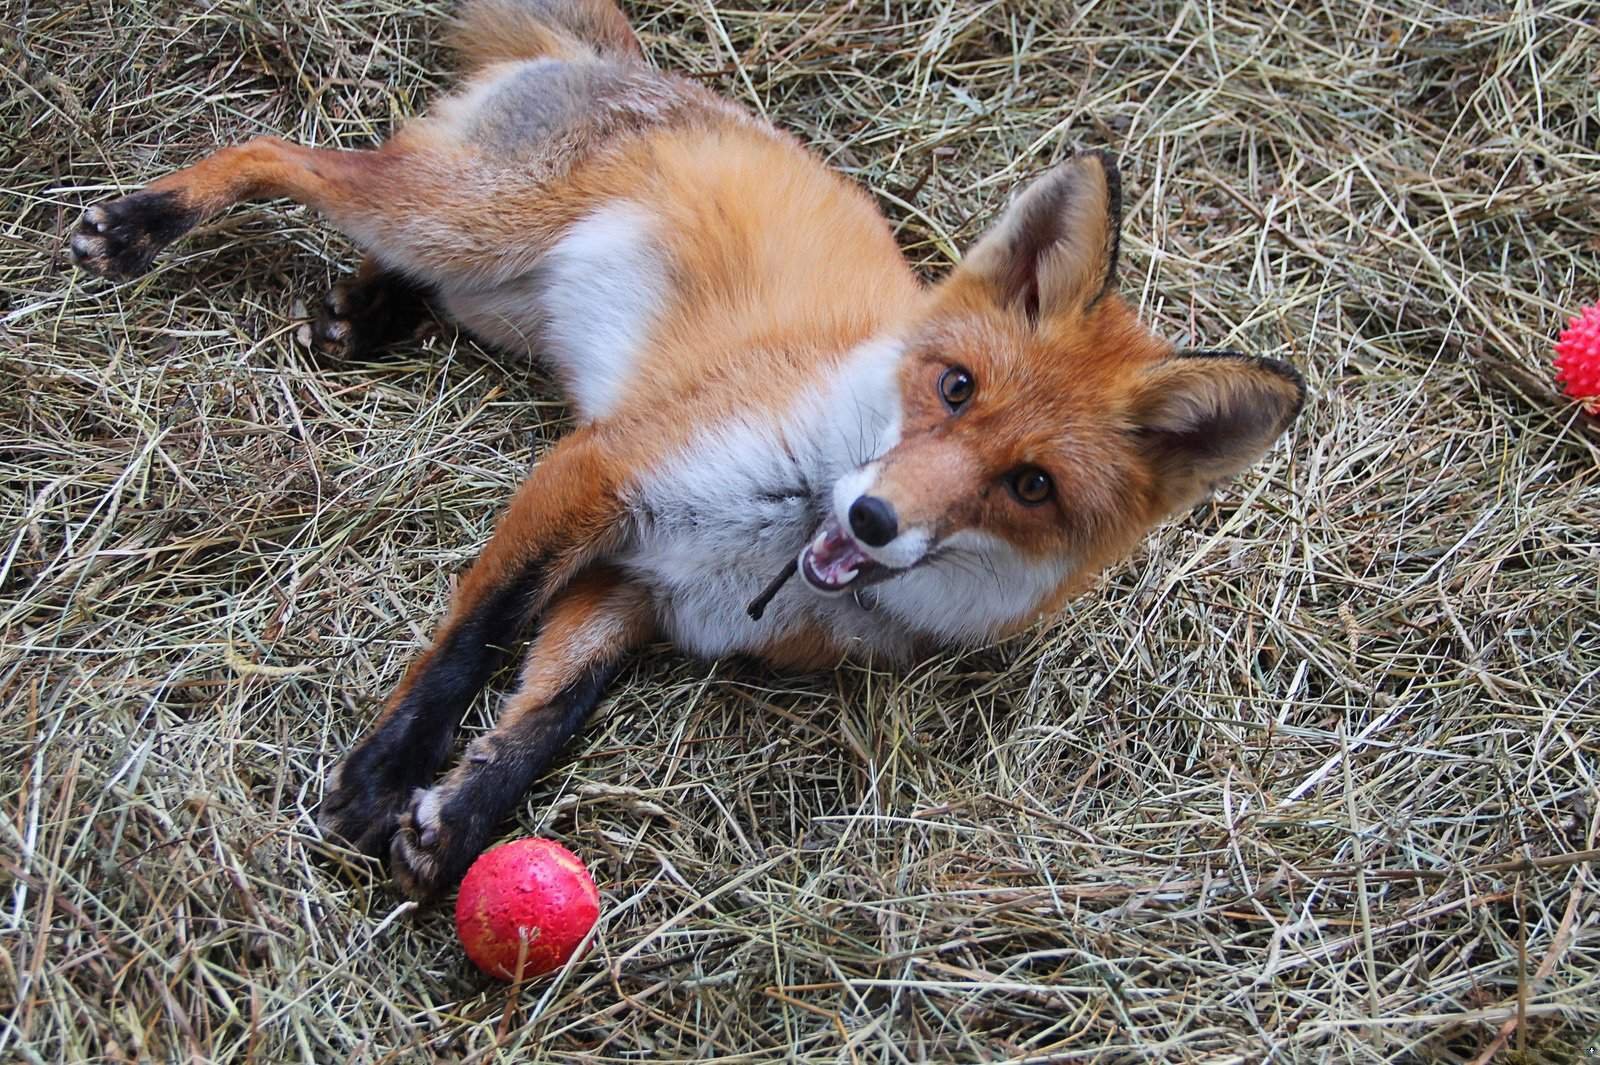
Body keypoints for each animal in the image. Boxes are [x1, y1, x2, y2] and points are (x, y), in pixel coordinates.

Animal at [68, 0, 1305, 895]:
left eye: (1031, 486)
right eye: (954, 389)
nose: (872, 520)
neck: (772, 526)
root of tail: (648, 71)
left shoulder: (636, 588)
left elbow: (550, 709)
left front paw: (457, 820)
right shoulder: (596, 471)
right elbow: (475, 641)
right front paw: (384, 777)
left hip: (496, 294)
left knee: (396, 251)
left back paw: (367, 309)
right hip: (459, 219)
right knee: (284, 153)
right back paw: (147, 219)